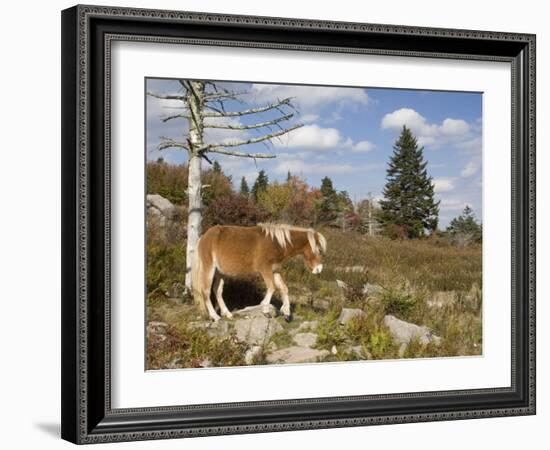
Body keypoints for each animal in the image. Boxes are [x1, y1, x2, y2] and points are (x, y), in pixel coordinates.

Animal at [192, 223, 328, 322]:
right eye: (319, 249)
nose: (319, 269)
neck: (277, 243)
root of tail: (203, 237)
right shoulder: (265, 270)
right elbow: (272, 288)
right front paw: (265, 309)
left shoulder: (274, 271)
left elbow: (284, 288)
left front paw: (286, 312)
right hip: (209, 268)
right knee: (206, 291)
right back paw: (215, 316)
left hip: (220, 272)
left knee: (218, 291)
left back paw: (227, 314)